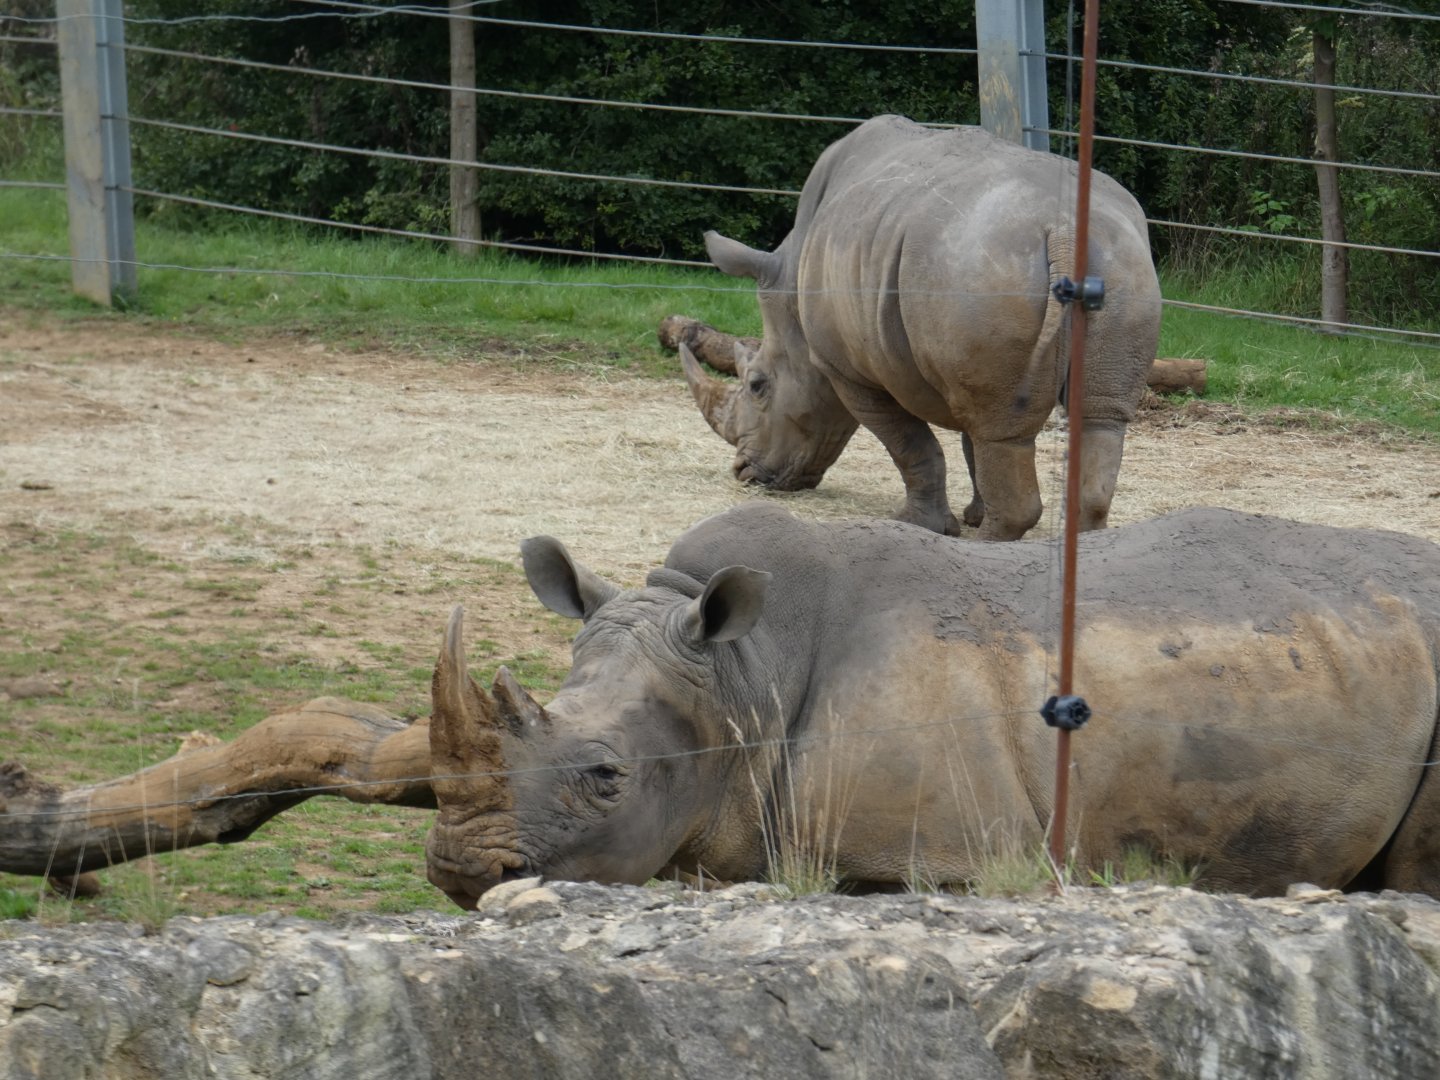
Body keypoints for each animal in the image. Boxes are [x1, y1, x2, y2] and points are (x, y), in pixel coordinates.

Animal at [683, 114, 1163, 540]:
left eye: (758, 385)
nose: (744, 473)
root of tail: (1062, 227)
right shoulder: (957, 360)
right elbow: (973, 443)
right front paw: (972, 516)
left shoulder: (847, 371)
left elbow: (912, 446)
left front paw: (920, 525)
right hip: (1120, 265)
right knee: (1097, 417)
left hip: (975, 270)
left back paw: (989, 547)